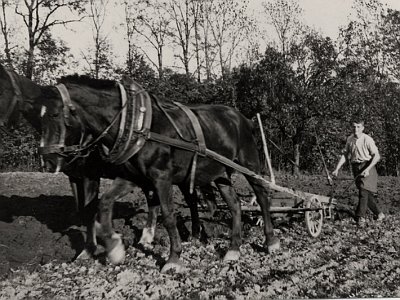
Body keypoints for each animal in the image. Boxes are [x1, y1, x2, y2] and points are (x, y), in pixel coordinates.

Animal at [0, 65, 216, 260]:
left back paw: (195, 233)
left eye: (54, 114)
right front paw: (88, 250)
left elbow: (96, 207)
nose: (49, 161)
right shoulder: (76, 177)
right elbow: (86, 211)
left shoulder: (98, 176)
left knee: (190, 200)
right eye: (38, 116)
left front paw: (107, 245)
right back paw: (149, 236)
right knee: (157, 200)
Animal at [39, 74, 280, 270]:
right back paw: (234, 249)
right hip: (220, 173)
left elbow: (169, 215)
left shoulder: (161, 177)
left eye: (55, 114)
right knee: (235, 205)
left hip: (250, 164)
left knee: (262, 196)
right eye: (38, 117)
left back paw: (271, 241)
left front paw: (173, 258)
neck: (136, 124)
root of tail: (243, 118)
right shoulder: (132, 177)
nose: (48, 160)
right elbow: (104, 203)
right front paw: (114, 248)